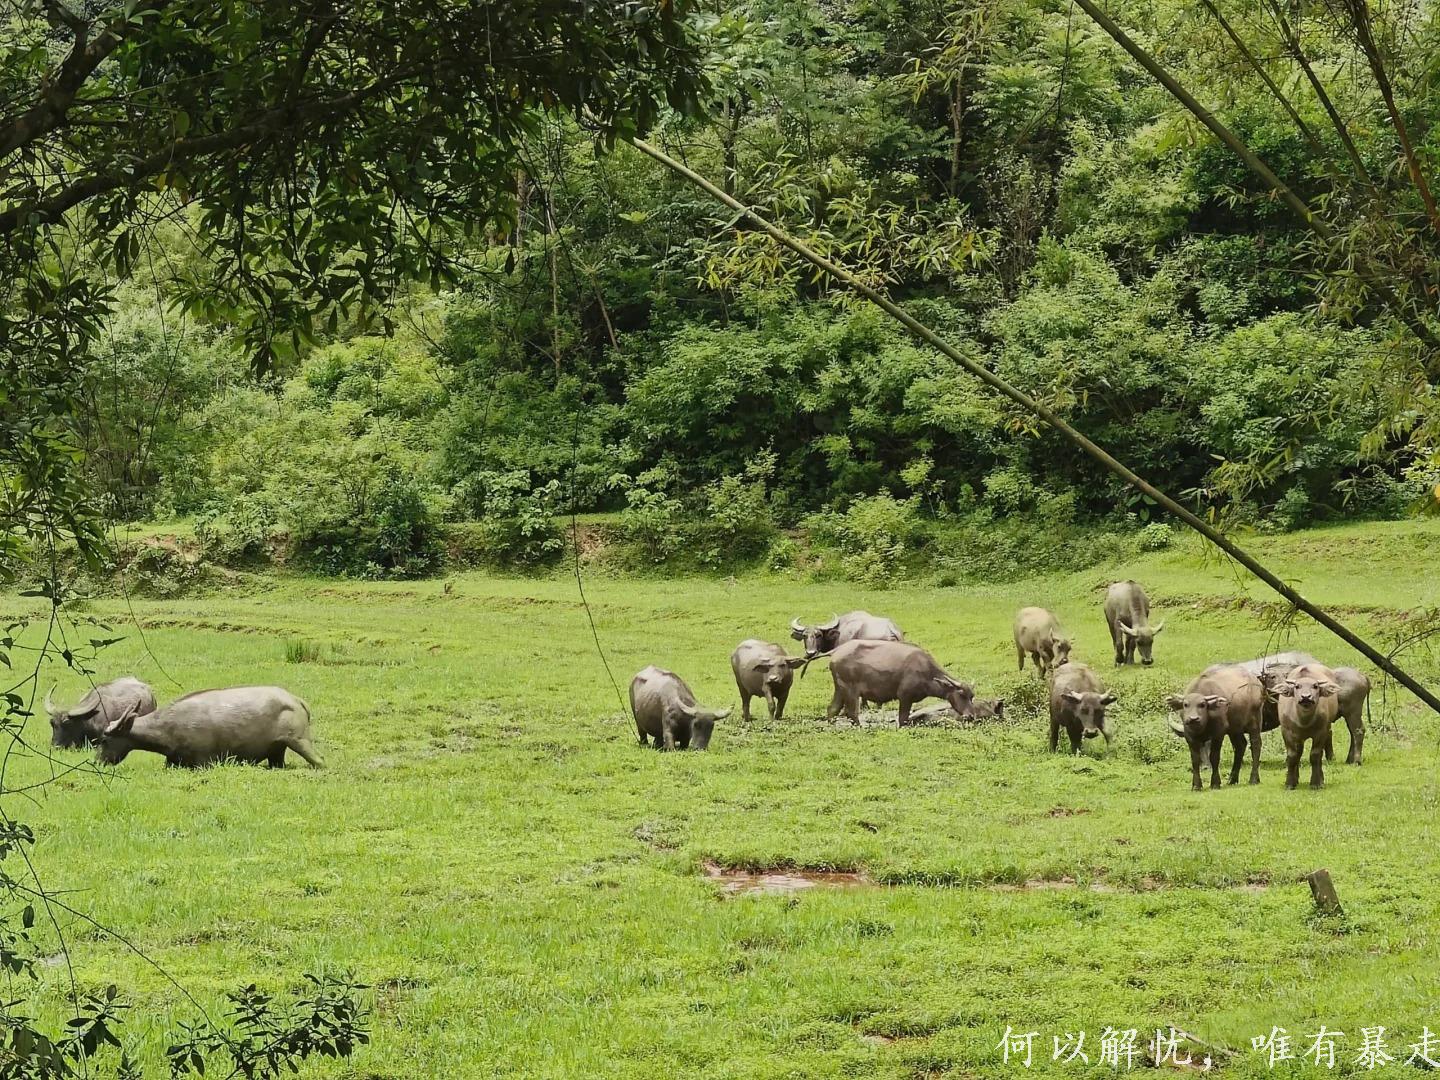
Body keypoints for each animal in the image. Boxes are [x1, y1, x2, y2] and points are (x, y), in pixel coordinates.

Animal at [96, 686, 323, 768]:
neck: (167, 727)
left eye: (105, 740)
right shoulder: (172, 762)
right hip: (276, 752)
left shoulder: (204, 762)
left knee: (320, 761)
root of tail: (296, 700)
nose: (98, 761)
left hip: (299, 741)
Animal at [825, 639, 973, 729]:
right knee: (851, 712)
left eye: (972, 696)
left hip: (840, 689)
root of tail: (837, 651)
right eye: (961, 694)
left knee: (832, 709)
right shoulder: (905, 697)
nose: (971, 716)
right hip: (850, 690)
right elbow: (902, 720)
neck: (926, 672)